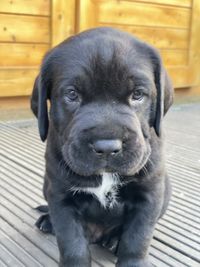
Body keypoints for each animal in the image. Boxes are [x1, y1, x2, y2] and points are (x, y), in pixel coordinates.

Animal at [30, 27, 173, 267]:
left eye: (137, 94)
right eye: (72, 94)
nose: (107, 147)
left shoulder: (149, 195)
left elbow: (137, 239)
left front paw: (131, 259)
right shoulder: (60, 196)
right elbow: (72, 243)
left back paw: (114, 240)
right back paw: (48, 221)